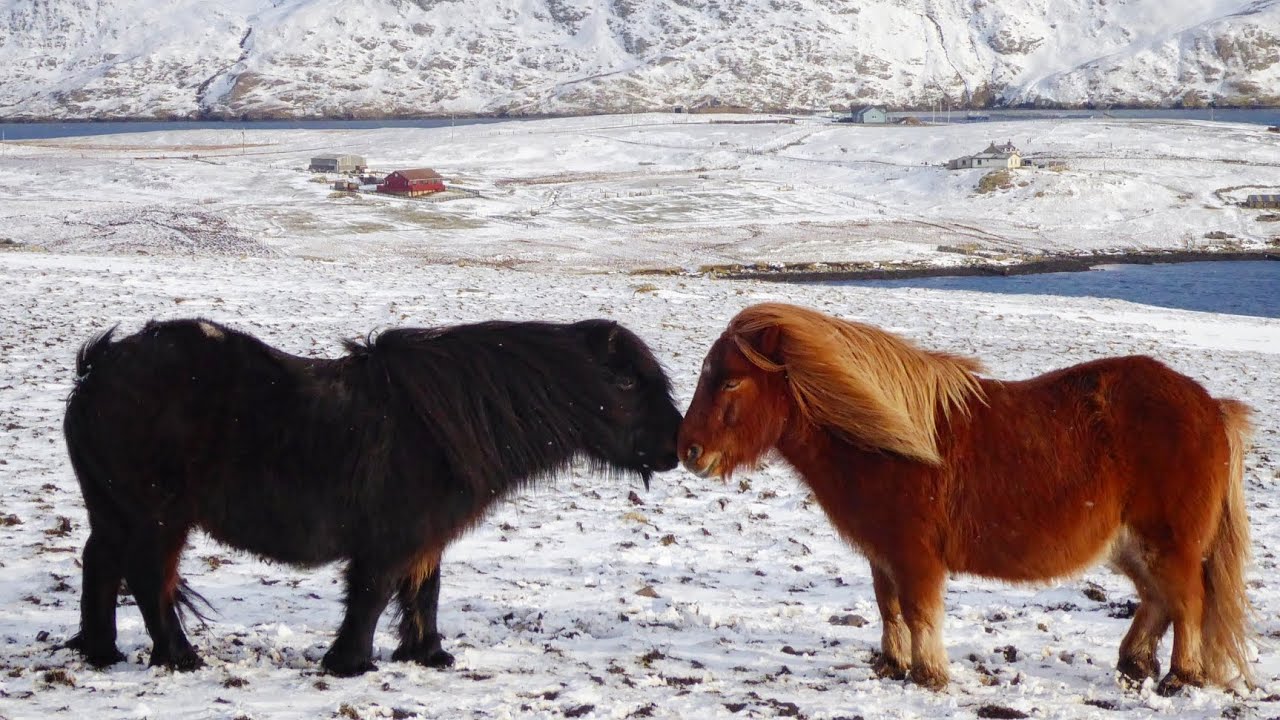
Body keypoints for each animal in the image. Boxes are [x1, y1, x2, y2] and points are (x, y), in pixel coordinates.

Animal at [63, 317, 683, 676]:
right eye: (628, 381)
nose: (679, 446)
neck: (445, 425)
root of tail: (97, 367)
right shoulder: (388, 541)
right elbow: (372, 596)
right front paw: (349, 664)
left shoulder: (426, 538)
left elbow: (423, 592)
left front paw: (428, 655)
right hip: (157, 518)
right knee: (149, 579)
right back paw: (181, 658)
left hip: (114, 512)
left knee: (100, 565)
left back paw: (101, 652)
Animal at [677, 302, 1254, 695]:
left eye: (730, 383)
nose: (688, 451)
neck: (890, 442)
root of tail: (1211, 405)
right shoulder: (883, 555)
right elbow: (888, 607)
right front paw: (892, 667)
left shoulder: (916, 556)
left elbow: (919, 612)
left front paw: (929, 674)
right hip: (1129, 545)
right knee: (1159, 600)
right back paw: (1134, 665)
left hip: (1168, 544)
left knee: (1189, 603)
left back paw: (1180, 677)